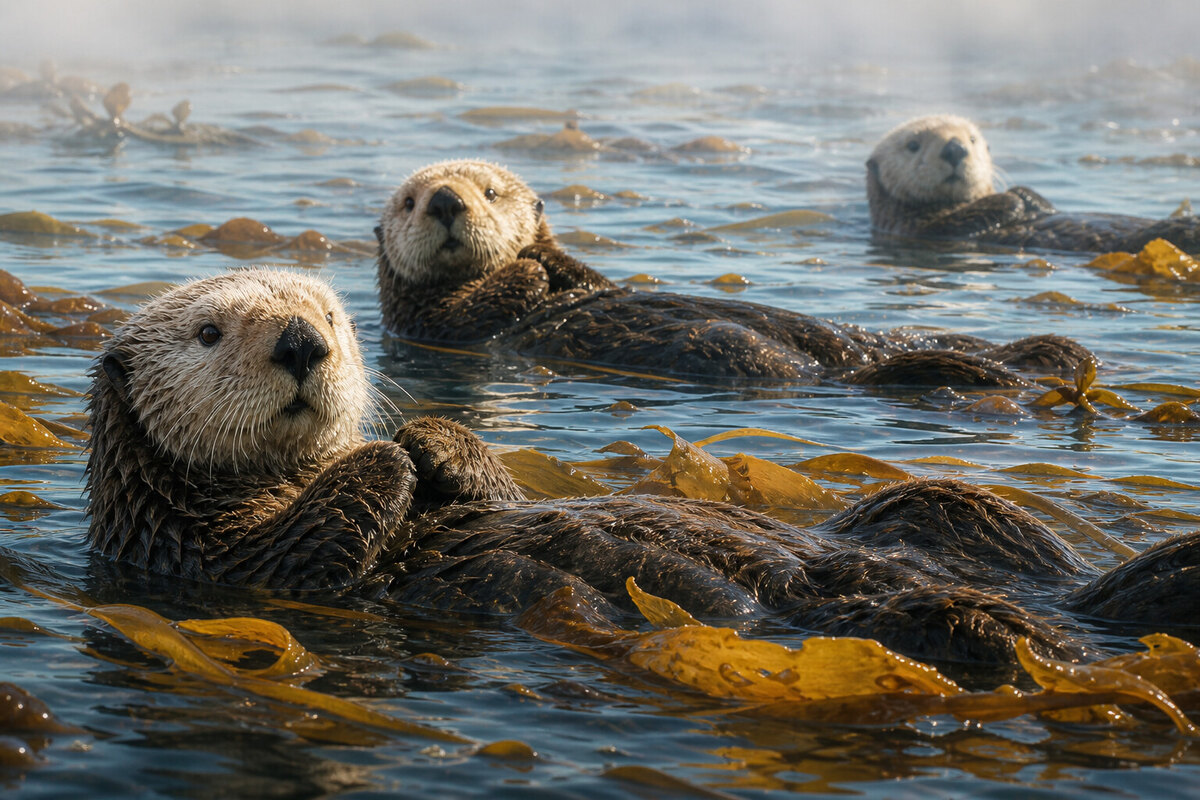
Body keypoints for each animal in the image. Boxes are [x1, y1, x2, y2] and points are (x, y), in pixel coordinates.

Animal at [376, 160, 1095, 386]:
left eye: (491, 192)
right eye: (410, 202)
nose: (446, 202)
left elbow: (584, 276)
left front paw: (543, 260)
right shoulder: (434, 323)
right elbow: (488, 301)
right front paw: (526, 271)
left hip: (885, 333)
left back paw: (1056, 355)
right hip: (734, 348)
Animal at [867, 114, 1200, 253]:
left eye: (972, 140)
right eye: (913, 145)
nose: (955, 148)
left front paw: (1027, 195)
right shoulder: (919, 228)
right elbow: (963, 220)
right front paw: (1012, 197)